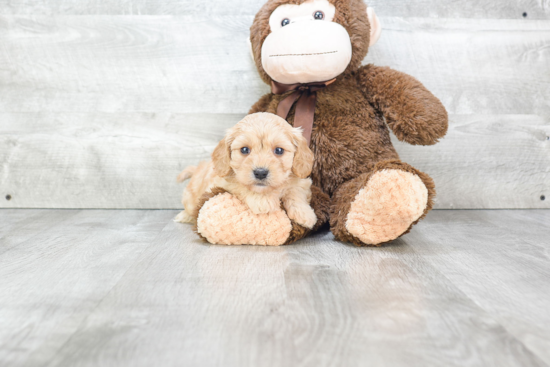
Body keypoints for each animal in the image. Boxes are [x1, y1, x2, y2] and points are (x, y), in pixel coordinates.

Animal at [175, 112, 316, 229]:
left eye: (279, 150)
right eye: (244, 150)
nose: (260, 173)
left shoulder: (302, 181)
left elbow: (295, 191)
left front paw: (305, 214)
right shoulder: (221, 182)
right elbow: (240, 185)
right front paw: (262, 201)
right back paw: (184, 216)